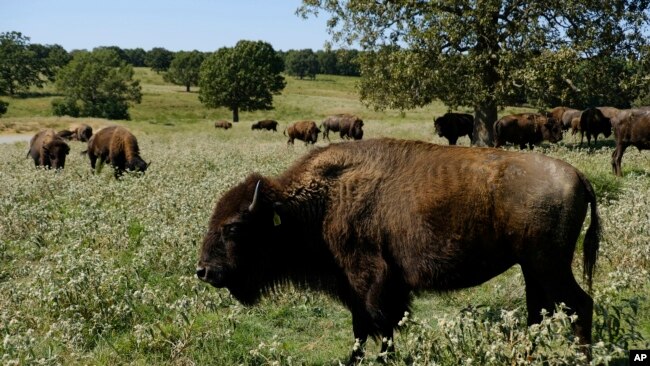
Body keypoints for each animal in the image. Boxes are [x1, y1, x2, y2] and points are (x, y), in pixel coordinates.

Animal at [196, 137, 596, 364]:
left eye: (233, 227)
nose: (204, 271)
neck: (322, 201)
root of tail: (578, 175)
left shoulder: (372, 282)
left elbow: (378, 325)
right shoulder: (358, 288)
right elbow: (362, 328)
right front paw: (353, 359)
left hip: (550, 266)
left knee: (580, 304)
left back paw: (581, 357)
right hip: (532, 268)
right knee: (539, 312)